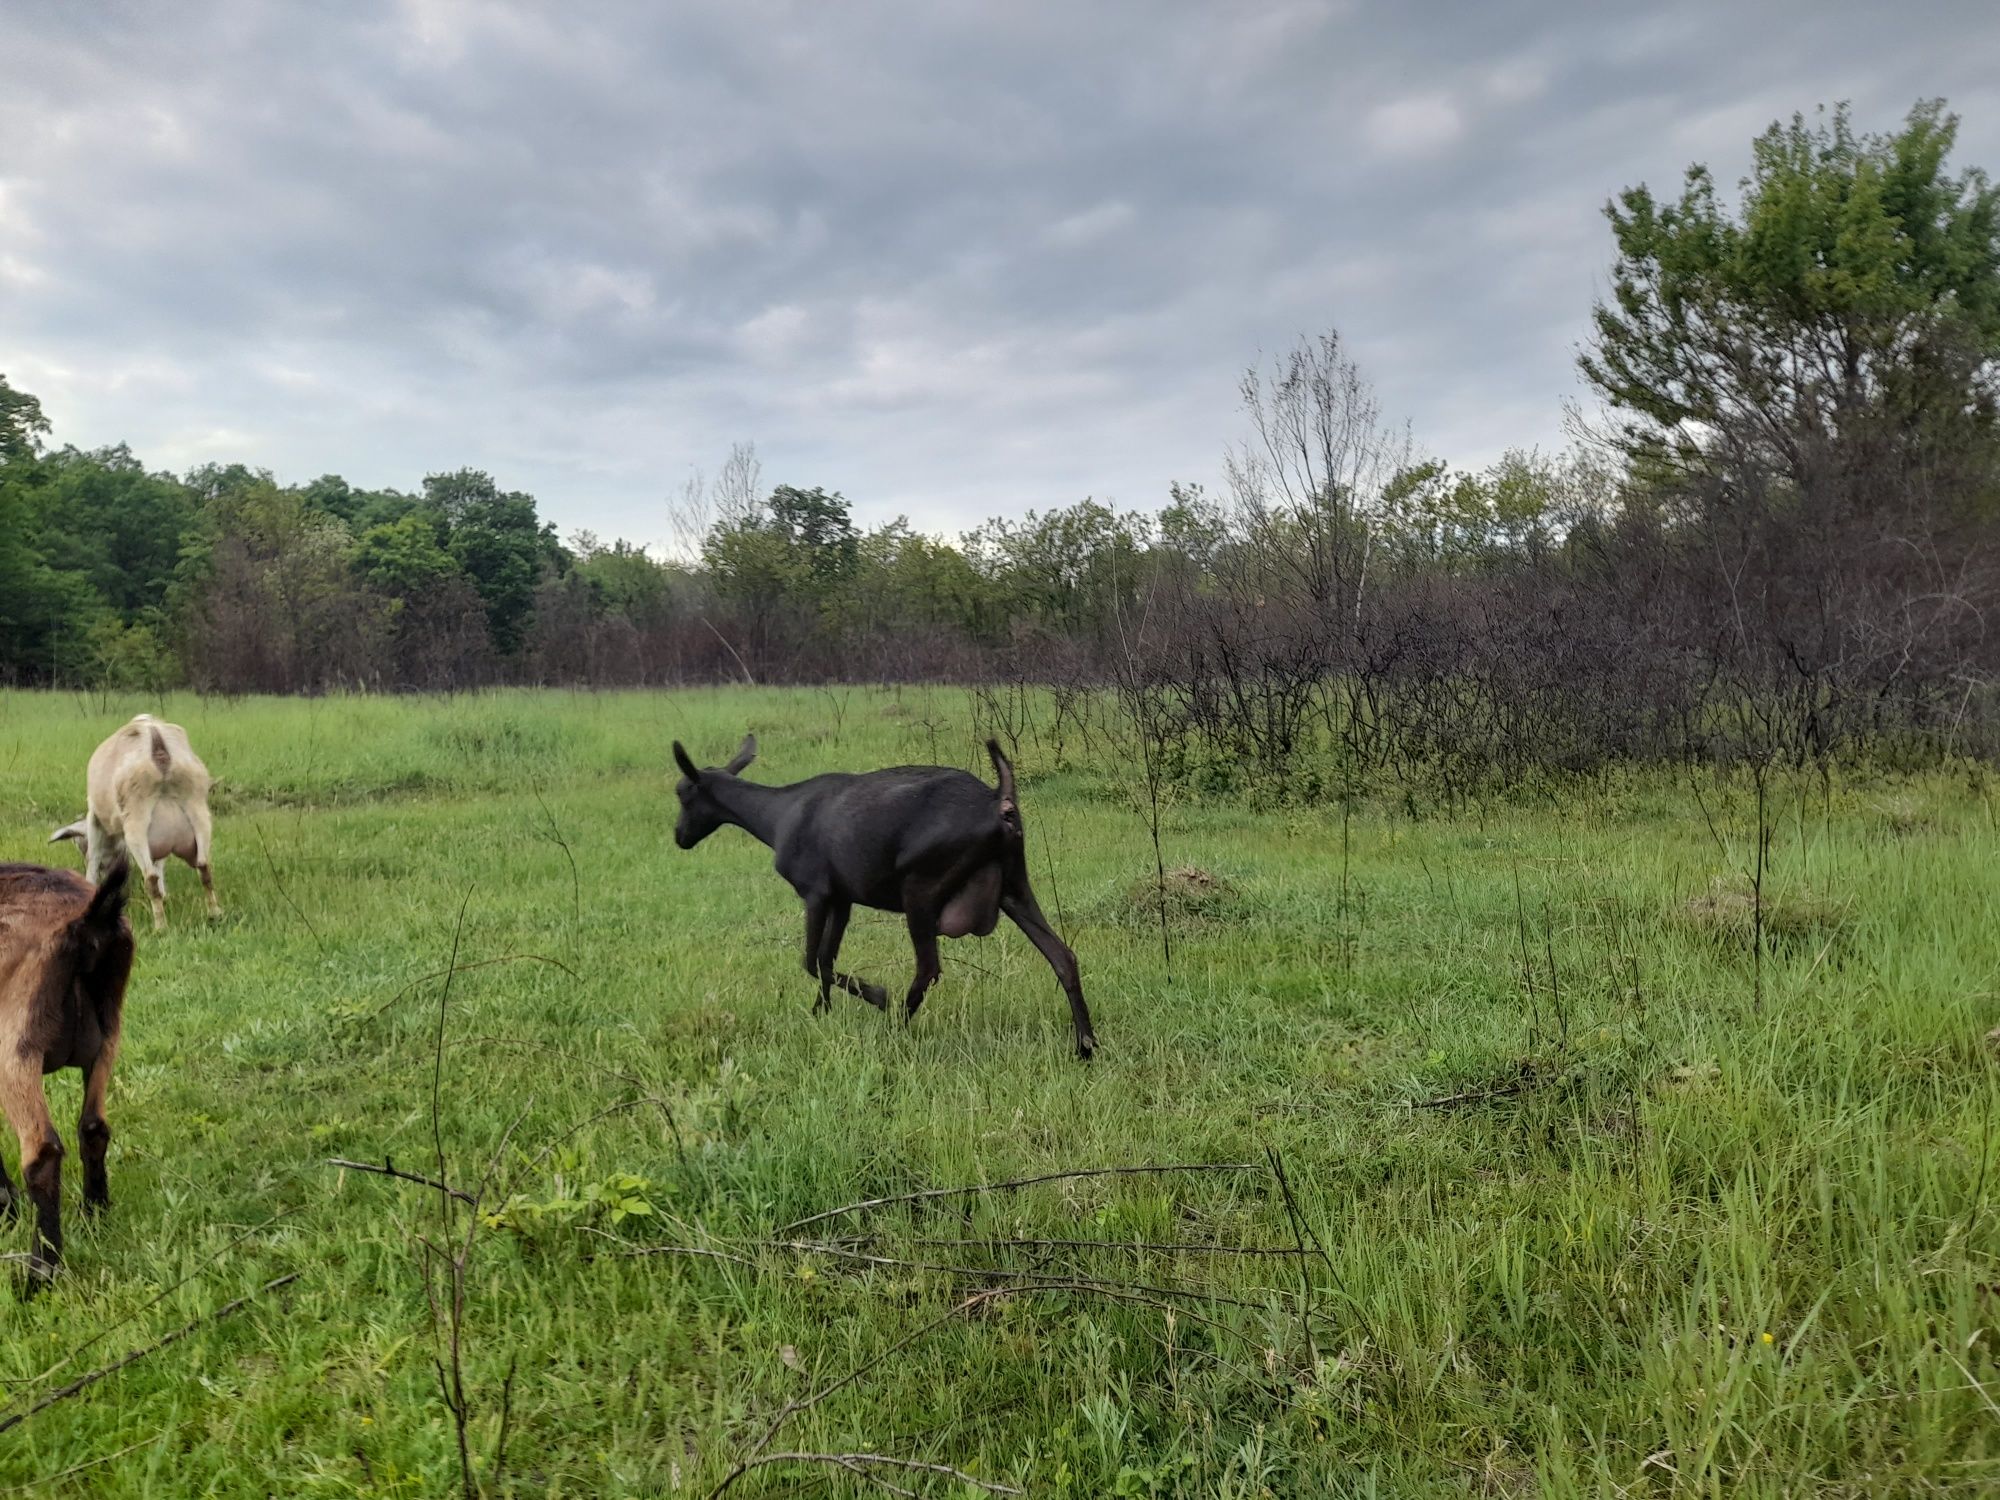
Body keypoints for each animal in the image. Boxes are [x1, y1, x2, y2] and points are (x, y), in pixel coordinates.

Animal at [0, 856, 131, 1296]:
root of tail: (89, 921)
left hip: (16, 1044)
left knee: (42, 1150)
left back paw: (40, 1274)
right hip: (108, 1031)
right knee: (93, 1126)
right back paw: (96, 1214)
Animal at [49, 712, 220, 928]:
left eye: (80, 845)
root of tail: (155, 738)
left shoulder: (95, 817)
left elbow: (93, 858)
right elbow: (160, 863)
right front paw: (165, 894)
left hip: (136, 820)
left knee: (151, 878)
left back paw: (160, 927)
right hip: (198, 811)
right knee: (205, 868)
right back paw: (215, 913)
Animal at [680, 736, 1104, 1064]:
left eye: (682, 795)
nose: (679, 837)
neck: (779, 815)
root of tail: (1000, 802)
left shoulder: (816, 893)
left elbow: (810, 961)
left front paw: (876, 996)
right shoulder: (843, 900)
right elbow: (824, 960)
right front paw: (822, 1012)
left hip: (920, 892)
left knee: (928, 968)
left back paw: (896, 1026)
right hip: (1015, 889)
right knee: (1063, 957)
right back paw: (1085, 1047)